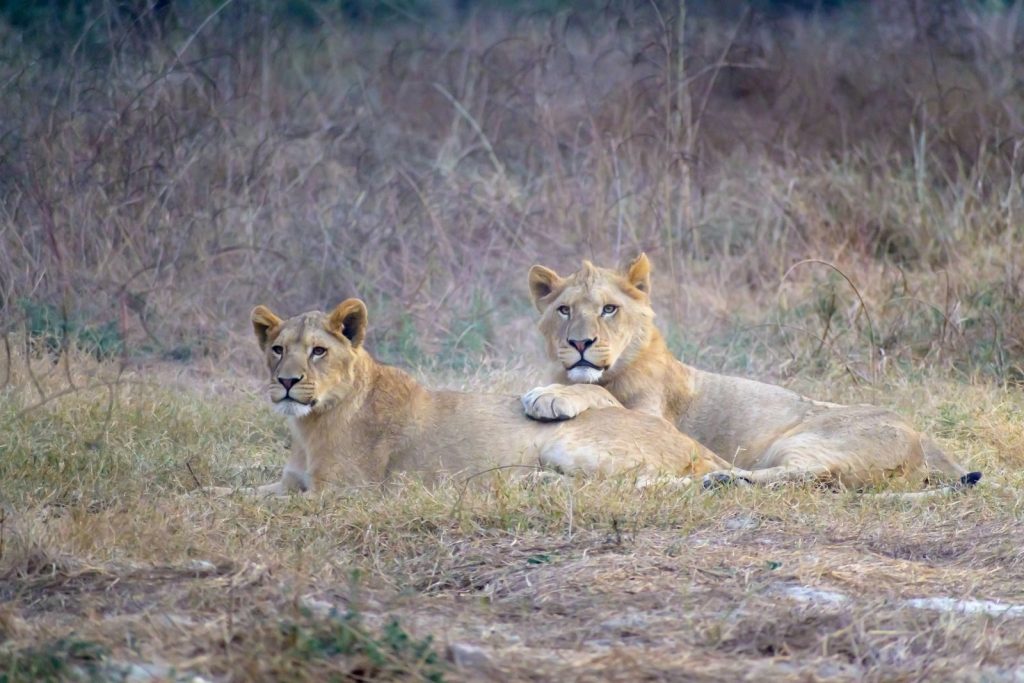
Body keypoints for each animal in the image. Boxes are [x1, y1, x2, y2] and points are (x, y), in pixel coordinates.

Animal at [227, 298, 729, 495]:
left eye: (318, 351)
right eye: (277, 350)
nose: (287, 382)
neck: (308, 425)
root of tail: (692, 443)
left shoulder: (345, 492)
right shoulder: (289, 482)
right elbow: (231, 494)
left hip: (568, 443)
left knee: (619, 486)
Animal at [523, 254, 981, 493]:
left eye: (609, 309)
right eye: (564, 310)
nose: (580, 344)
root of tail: (924, 439)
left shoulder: (654, 420)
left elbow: (602, 396)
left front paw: (548, 396)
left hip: (803, 438)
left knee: (809, 474)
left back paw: (721, 478)